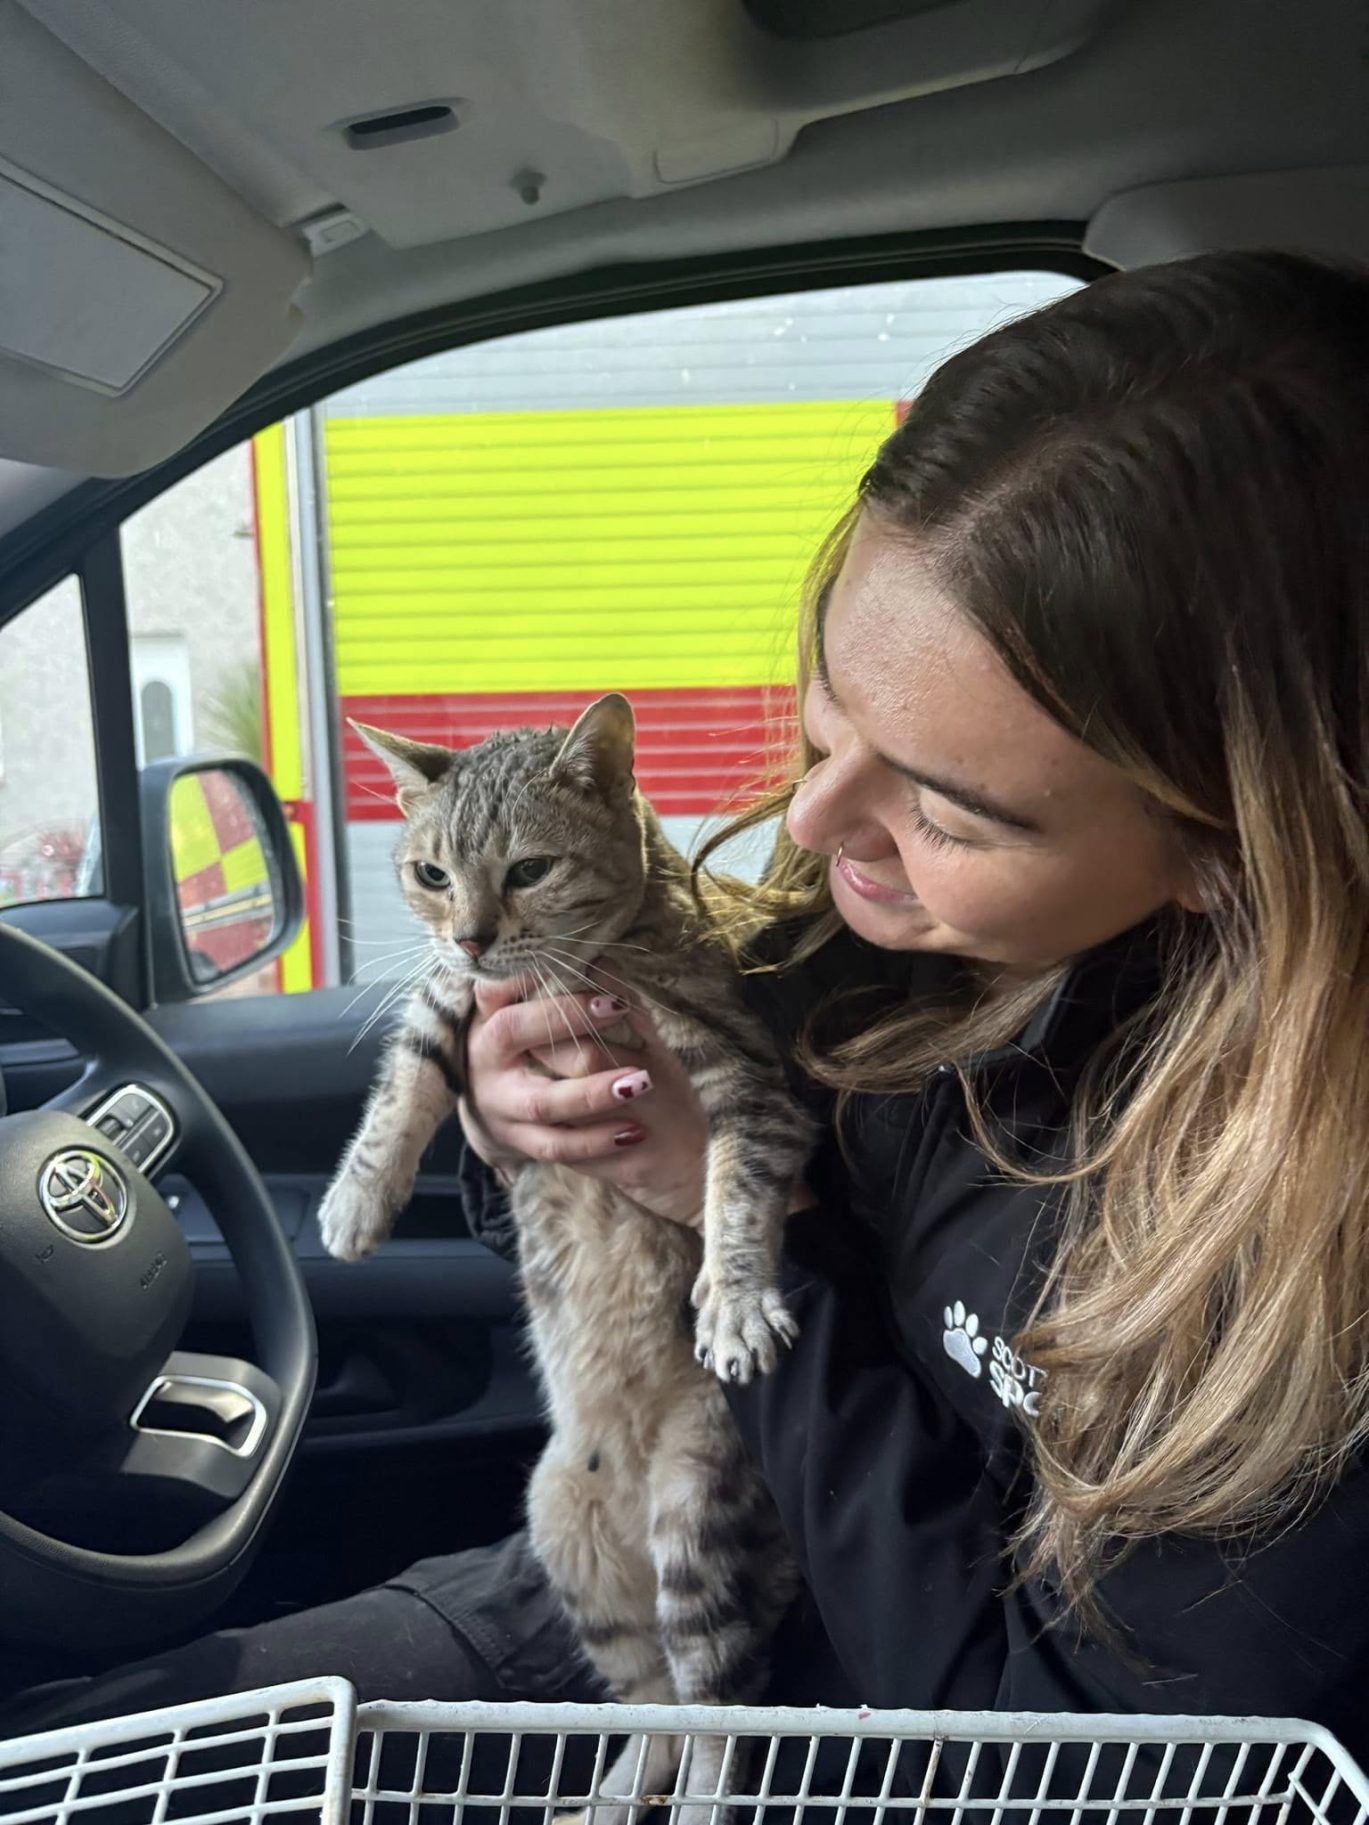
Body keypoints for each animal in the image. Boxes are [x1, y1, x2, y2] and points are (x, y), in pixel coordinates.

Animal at [319, 689, 814, 1817]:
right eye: (431, 873)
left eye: (529, 869)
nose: (469, 932)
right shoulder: (450, 1001)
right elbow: (409, 1071)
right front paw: (357, 1197)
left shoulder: (749, 1081)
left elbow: (736, 1182)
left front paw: (735, 1297)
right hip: (567, 1537)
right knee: (652, 1703)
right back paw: (608, 1792)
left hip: (700, 1516)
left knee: (718, 1705)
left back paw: (700, 1801)